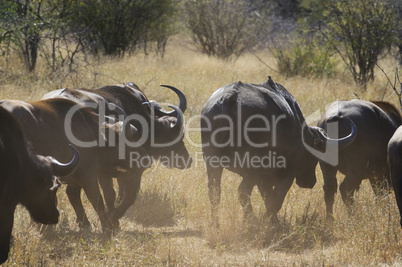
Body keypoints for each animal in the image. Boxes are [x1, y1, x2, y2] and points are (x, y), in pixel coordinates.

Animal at [201, 76, 354, 225]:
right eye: (314, 156)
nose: (309, 182)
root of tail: (230, 96)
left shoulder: (264, 179)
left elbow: (268, 197)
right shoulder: (287, 174)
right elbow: (277, 199)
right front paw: (271, 221)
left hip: (212, 163)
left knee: (214, 192)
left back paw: (216, 224)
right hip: (252, 169)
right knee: (243, 191)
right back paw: (252, 221)